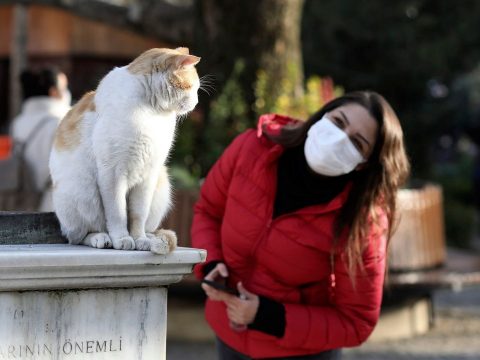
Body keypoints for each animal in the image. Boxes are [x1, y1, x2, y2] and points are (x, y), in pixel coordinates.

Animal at [48, 47, 199, 255]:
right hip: (82, 190)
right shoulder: (113, 174)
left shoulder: (148, 176)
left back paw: (150, 238)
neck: (152, 113)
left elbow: (137, 215)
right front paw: (122, 239)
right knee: (80, 235)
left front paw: (140, 239)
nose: (197, 102)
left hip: (161, 187)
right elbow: (117, 213)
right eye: (191, 87)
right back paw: (102, 238)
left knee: (150, 228)